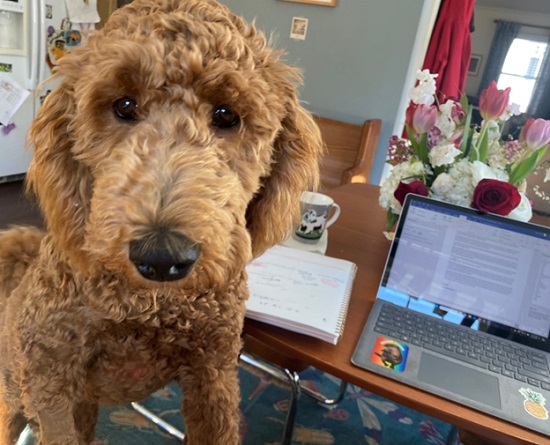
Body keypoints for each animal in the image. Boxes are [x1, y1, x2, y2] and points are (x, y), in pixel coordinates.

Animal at [0, 0, 324, 444]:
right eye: (123, 106)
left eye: (226, 115)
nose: (162, 257)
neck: (147, 308)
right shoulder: (49, 376)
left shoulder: (214, 375)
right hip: (17, 392)